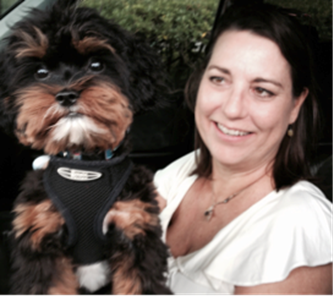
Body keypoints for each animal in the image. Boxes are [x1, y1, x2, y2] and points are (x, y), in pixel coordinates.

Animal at [0, 1, 172, 294]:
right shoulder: (41, 237)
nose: (67, 95)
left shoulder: (134, 228)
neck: (85, 163)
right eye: (41, 73)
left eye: (96, 65)